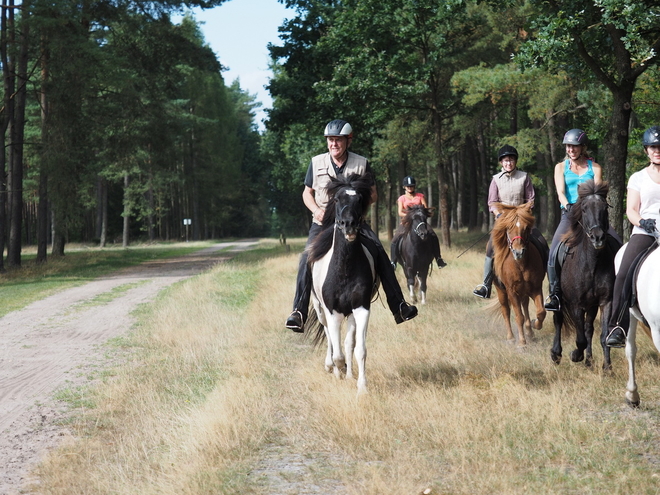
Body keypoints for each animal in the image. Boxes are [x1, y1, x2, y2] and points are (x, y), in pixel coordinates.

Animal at [304, 173, 376, 396]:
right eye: (336, 199)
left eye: (359, 199)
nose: (348, 224)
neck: (345, 268)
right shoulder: (332, 311)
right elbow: (337, 354)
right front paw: (338, 370)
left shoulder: (361, 308)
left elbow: (359, 349)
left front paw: (361, 387)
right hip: (320, 310)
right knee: (329, 337)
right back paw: (333, 368)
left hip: (350, 313)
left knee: (348, 343)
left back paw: (350, 374)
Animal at [490, 203, 548, 346]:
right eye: (508, 228)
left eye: (526, 228)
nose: (518, 252)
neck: (520, 264)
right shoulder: (512, 291)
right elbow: (518, 316)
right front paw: (522, 342)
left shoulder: (535, 288)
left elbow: (541, 312)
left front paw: (534, 324)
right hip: (501, 291)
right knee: (506, 310)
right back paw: (511, 337)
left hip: (524, 291)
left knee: (525, 305)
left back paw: (530, 332)